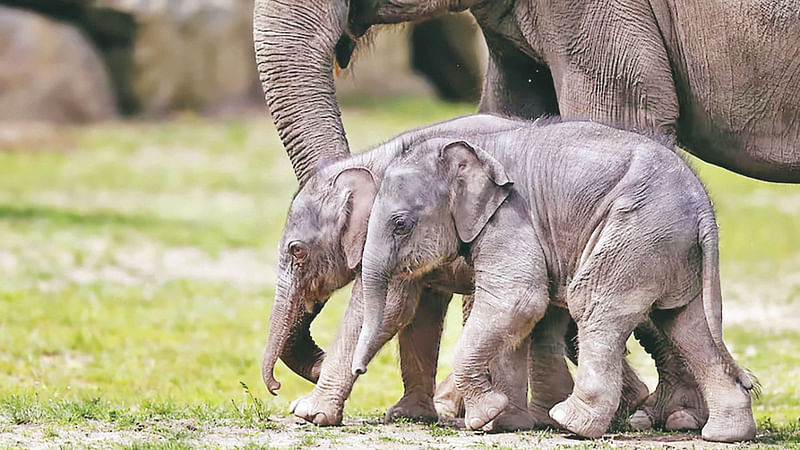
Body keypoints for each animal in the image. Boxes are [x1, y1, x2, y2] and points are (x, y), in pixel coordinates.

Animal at [352, 118, 756, 442]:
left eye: (401, 224)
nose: (360, 369)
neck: (474, 149)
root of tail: (704, 209)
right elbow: (522, 315)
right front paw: (503, 422)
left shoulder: (510, 217)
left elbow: (519, 299)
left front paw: (486, 416)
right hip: (671, 250)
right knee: (686, 324)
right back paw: (726, 435)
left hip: (637, 236)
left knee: (593, 307)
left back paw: (571, 424)